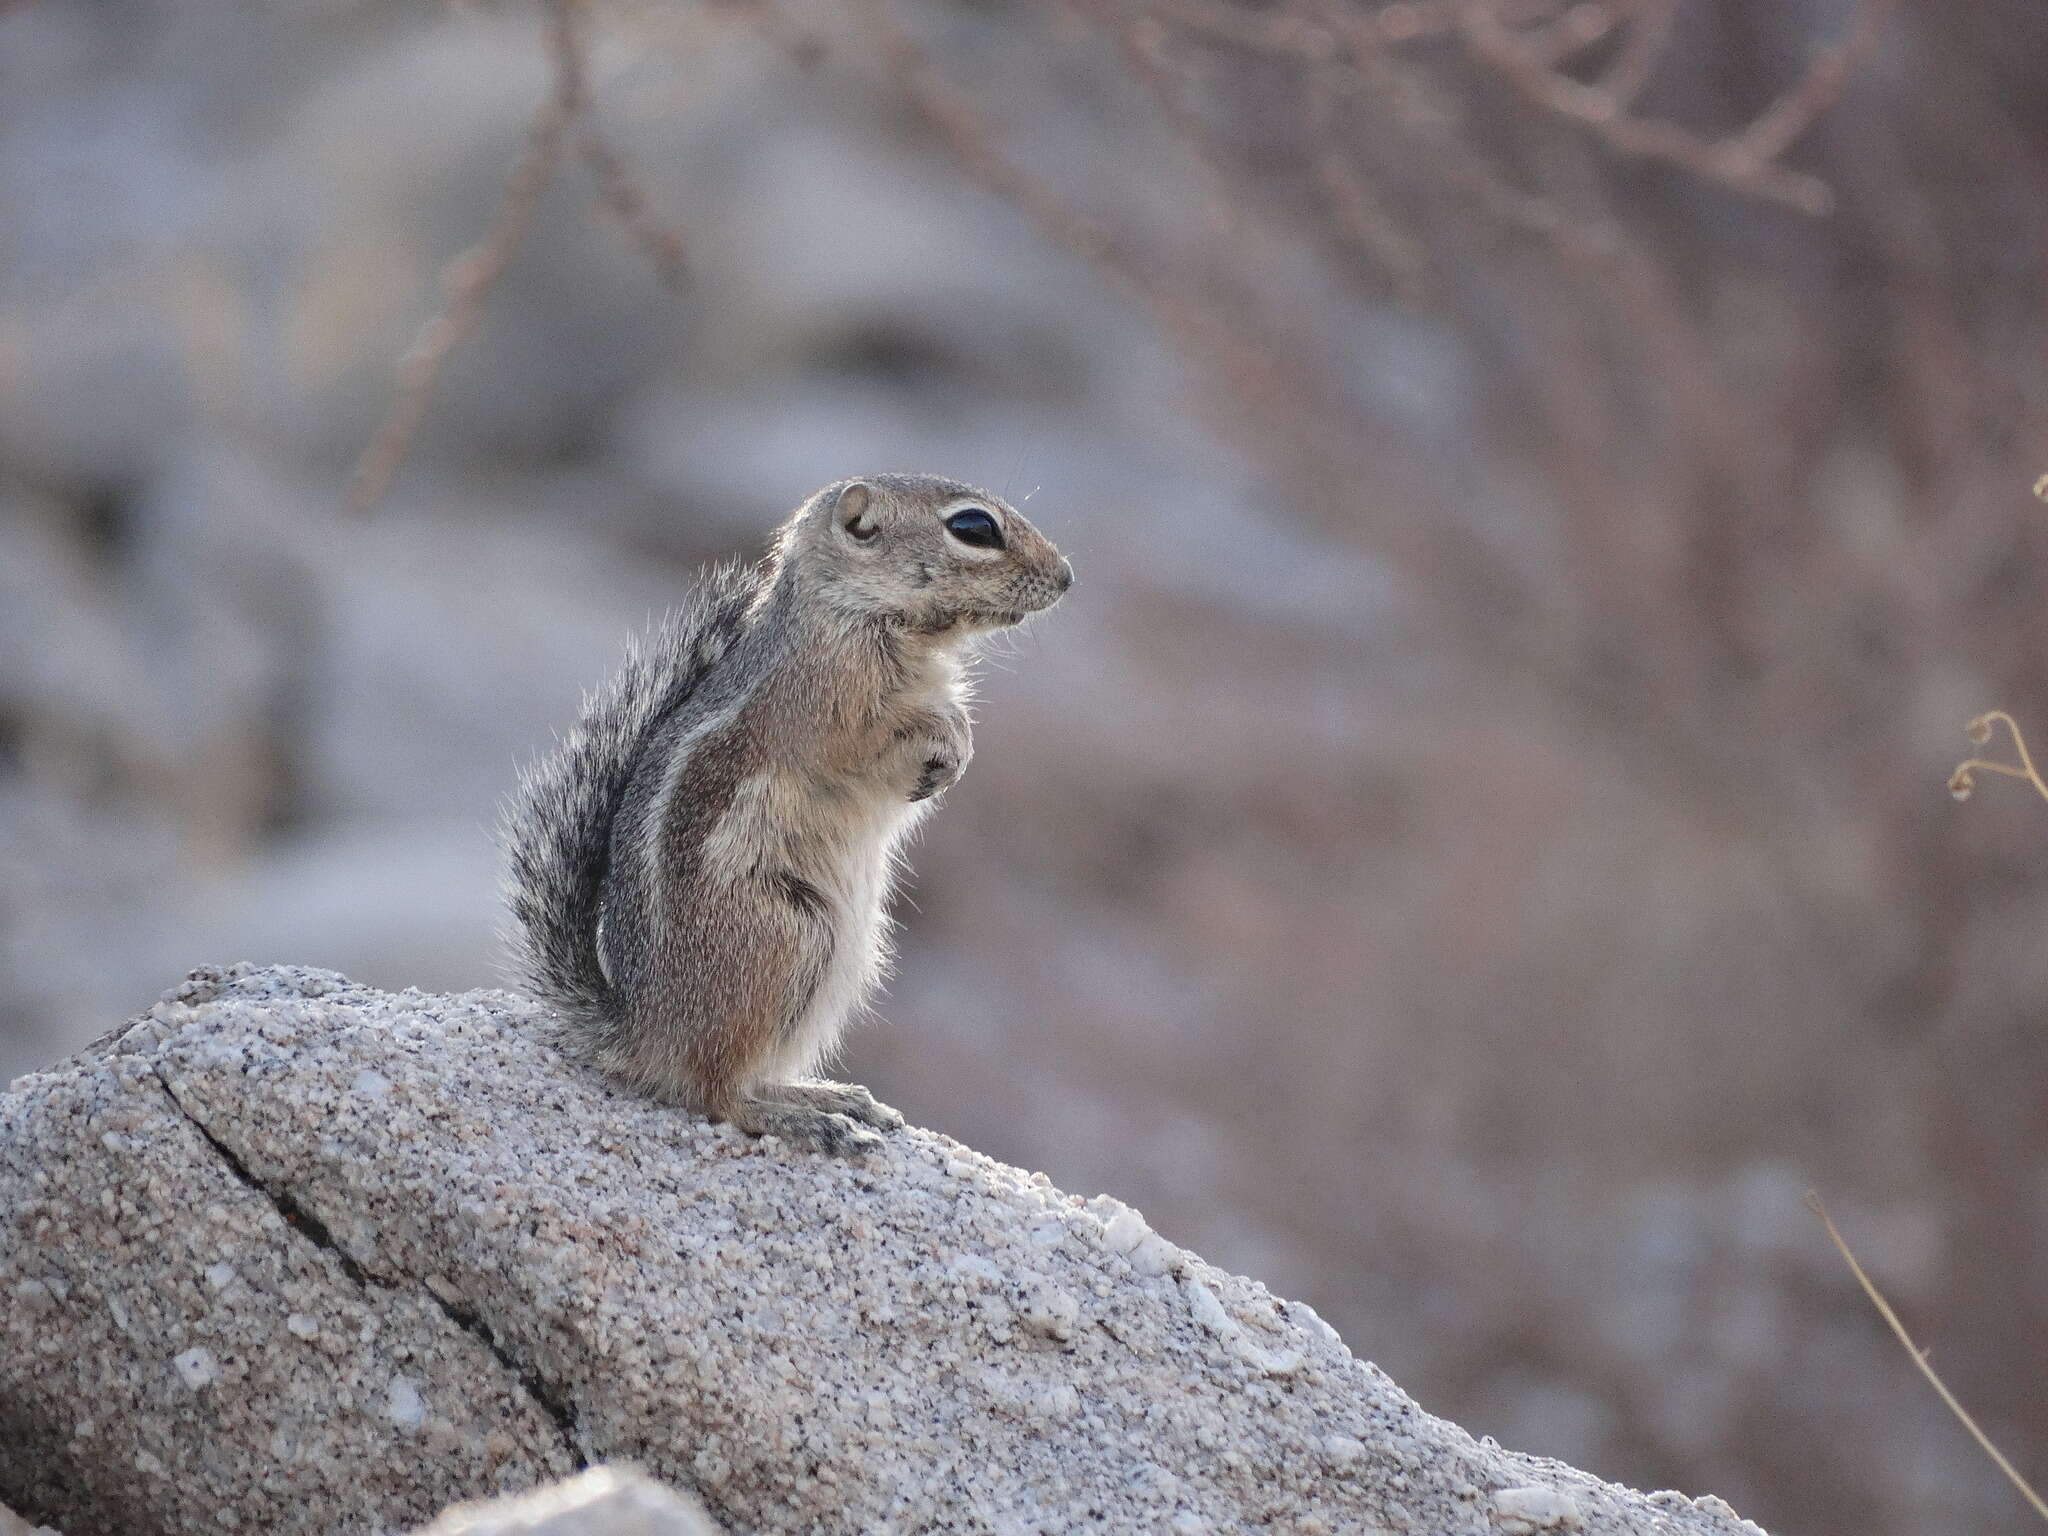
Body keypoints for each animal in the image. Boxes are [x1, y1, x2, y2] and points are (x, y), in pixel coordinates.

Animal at [499, 479, 1073, 1155]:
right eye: (974, 528)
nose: (1067, 577)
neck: (852, 616)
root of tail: (640, 1029)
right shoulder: (832, 705)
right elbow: (871, 740)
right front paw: (945, 743)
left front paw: (954, 757)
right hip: (787, 937)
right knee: (714, 1089)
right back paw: (801, 1120)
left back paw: (828, 1097)